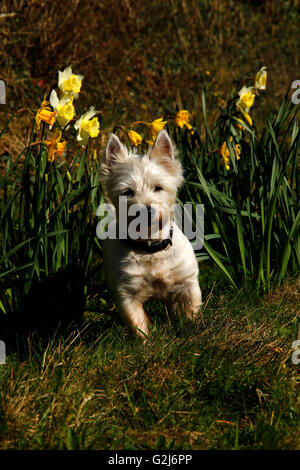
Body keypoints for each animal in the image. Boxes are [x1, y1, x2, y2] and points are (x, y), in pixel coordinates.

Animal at [99, 130, 202, 340]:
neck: (151, 247)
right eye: (127, 192)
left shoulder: (187, 281)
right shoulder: (126, 295)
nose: (146, 211)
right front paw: (146, 342)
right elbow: (138, 324)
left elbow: (191, 309)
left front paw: (191, 330)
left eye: (159, 187)